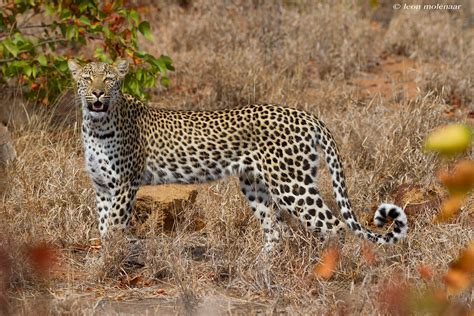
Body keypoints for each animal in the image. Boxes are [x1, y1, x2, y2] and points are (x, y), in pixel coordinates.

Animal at [69, 58, 408, 252]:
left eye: (109, 79)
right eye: (86, 79)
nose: (98, 93)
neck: (96, 124)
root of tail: (307, 115)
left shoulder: (124, 185)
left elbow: (114, 227)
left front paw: (110, 264)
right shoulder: (102, 188)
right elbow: (103, 225)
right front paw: (104, 260)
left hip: (292, 185)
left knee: (334, 227)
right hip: (255, 184)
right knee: (276, 231)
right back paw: (265, 269)